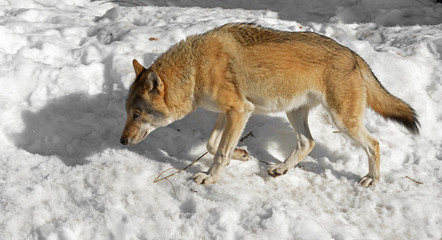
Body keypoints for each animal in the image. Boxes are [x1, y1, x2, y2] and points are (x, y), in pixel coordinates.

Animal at [120, 23, 418, 188]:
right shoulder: (231, 112)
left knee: (374, 144)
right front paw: (241, 155)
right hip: (294, 113)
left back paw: (371, 180)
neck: (195, 69)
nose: (121, 142)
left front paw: (210, 177)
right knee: (307, 142)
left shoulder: (240, 110)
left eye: (136, 113)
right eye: (128, 113)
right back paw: (281, 169)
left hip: (343, 122)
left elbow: (219, 152)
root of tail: (354, 55)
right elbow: (213, 145)